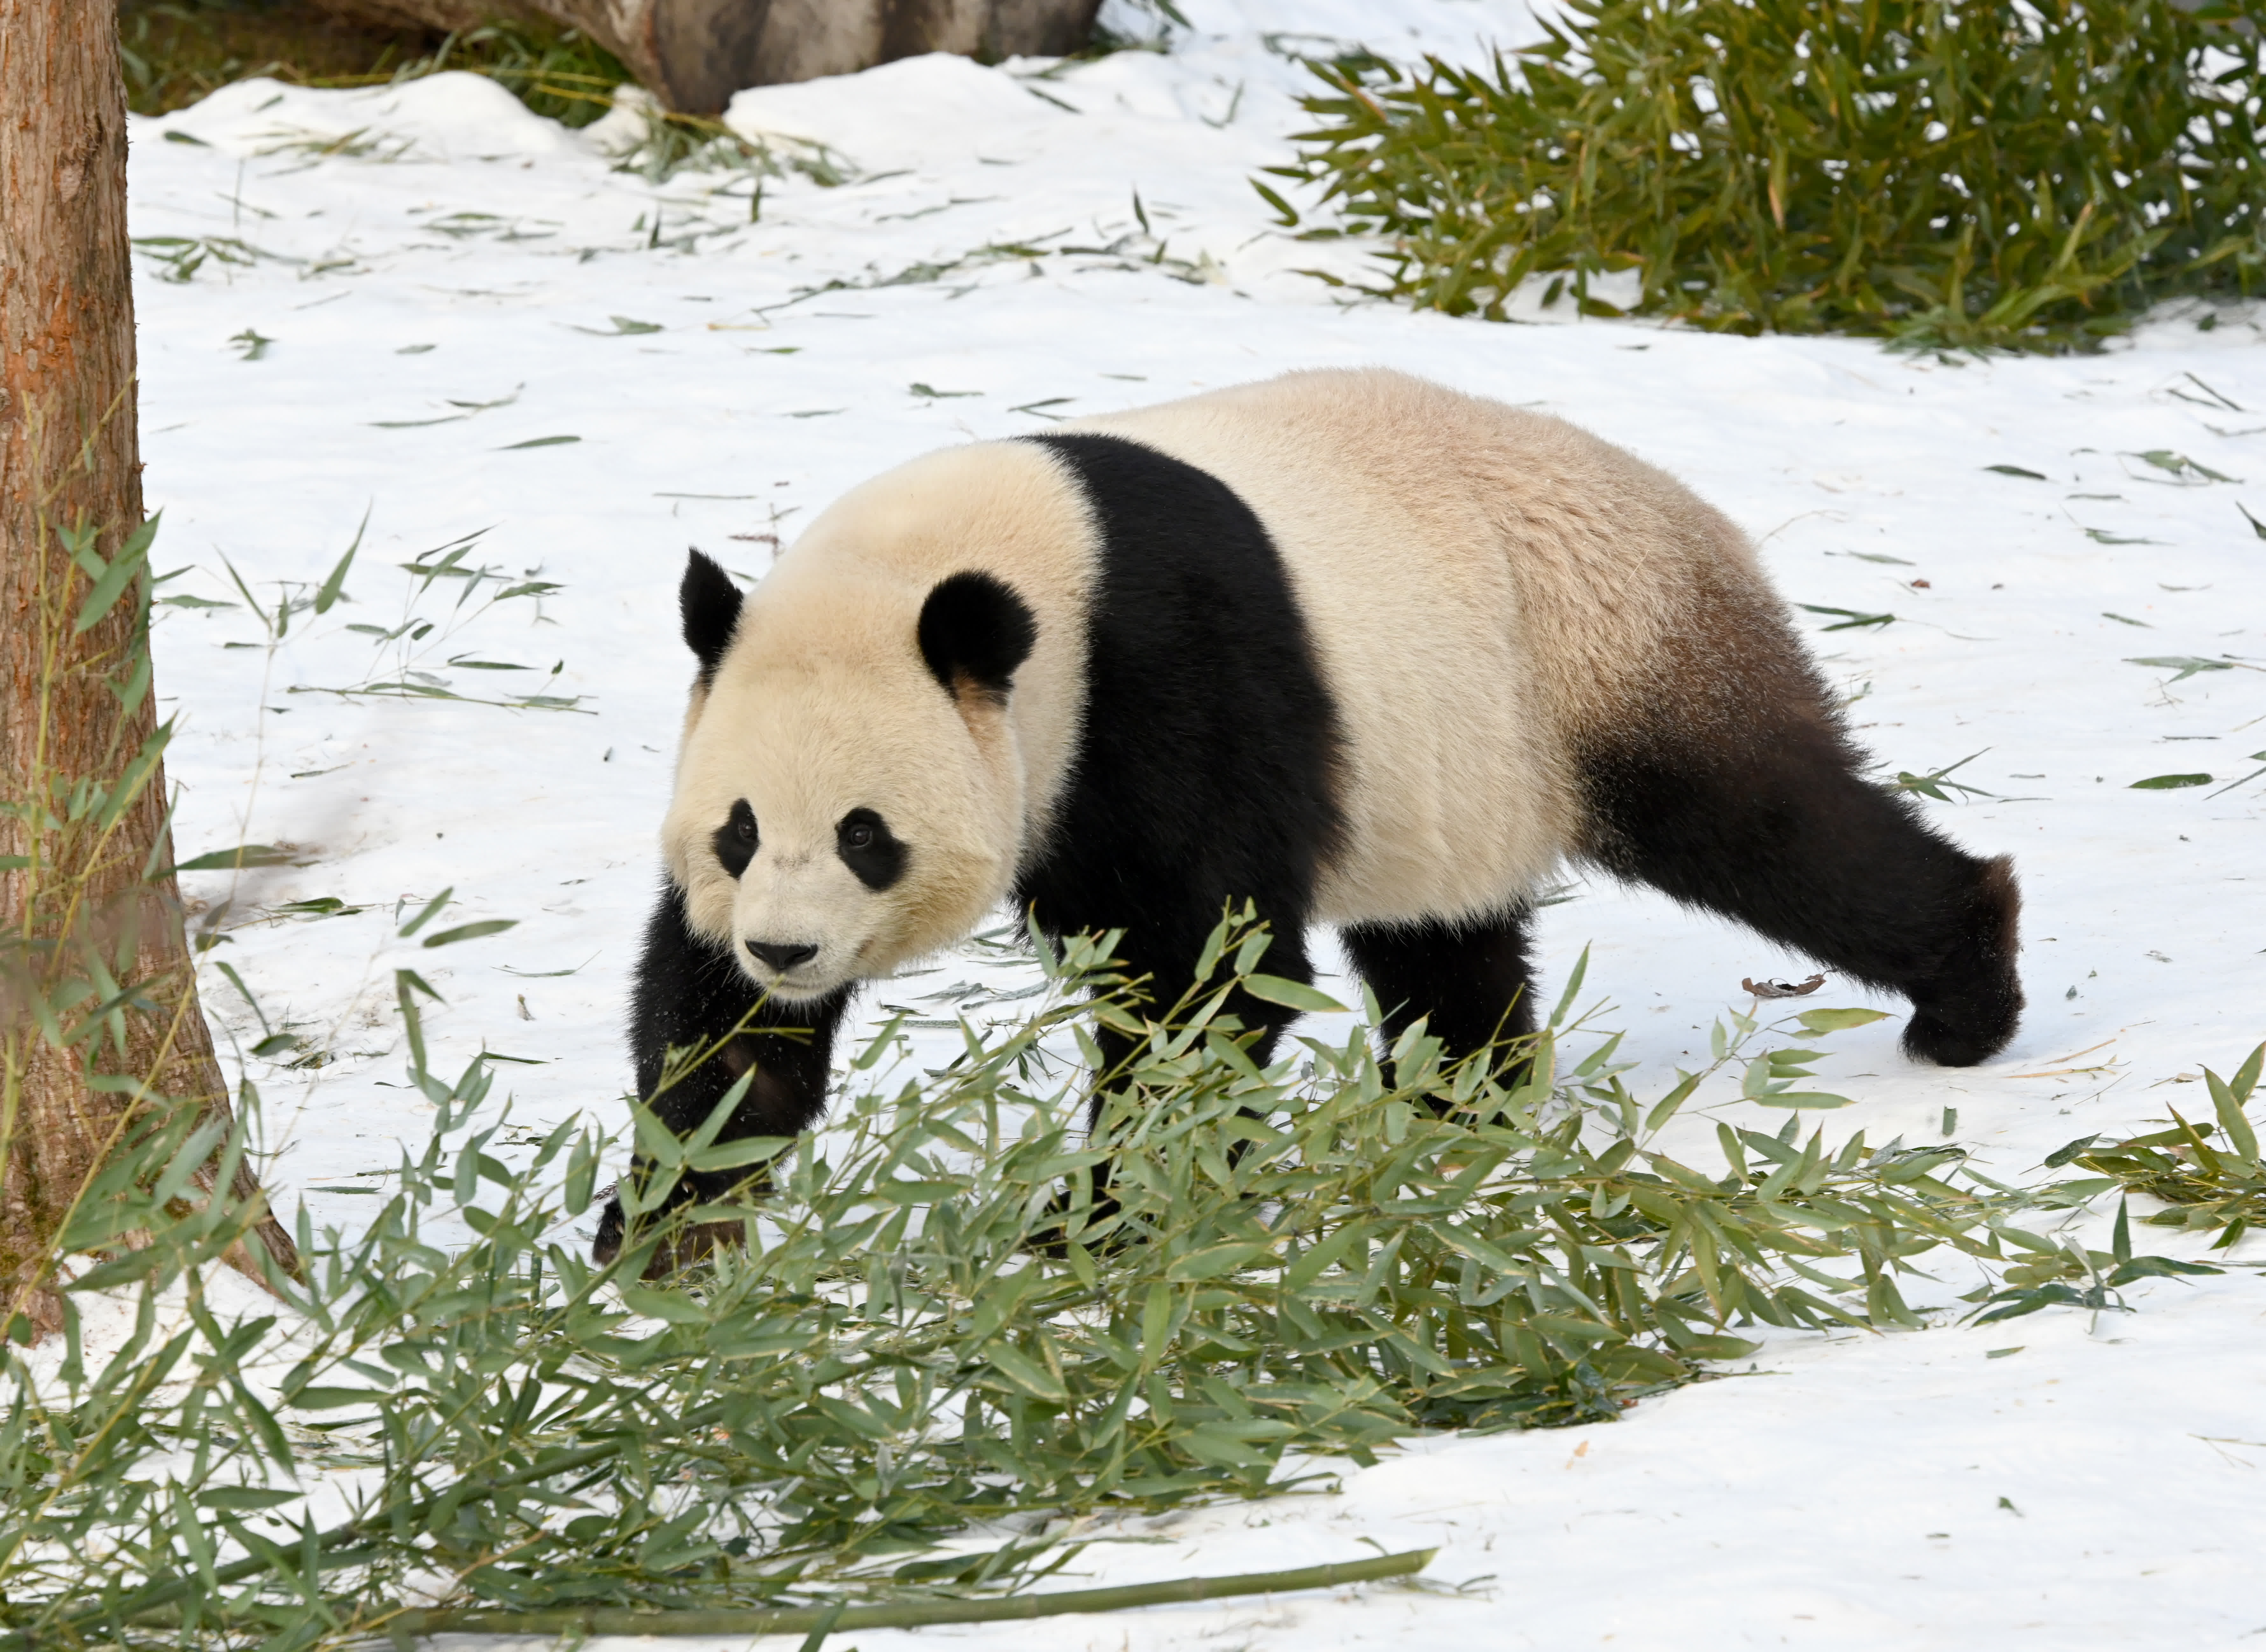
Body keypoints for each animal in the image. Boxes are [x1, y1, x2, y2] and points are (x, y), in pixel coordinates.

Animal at [594, 365, 2030, 1260]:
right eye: (735, 831)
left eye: (866, 835)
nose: (785, 950)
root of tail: (1692, 512)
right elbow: (720, 1044)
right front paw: (663, 1232)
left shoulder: (1164, 681)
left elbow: (1201, 977)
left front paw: (1096, 1222)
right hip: (1456, 757)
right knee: (1449, 949)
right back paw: (1459, 1114)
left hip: (1599, 655)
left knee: (1771, 830)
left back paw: (1966, 995)